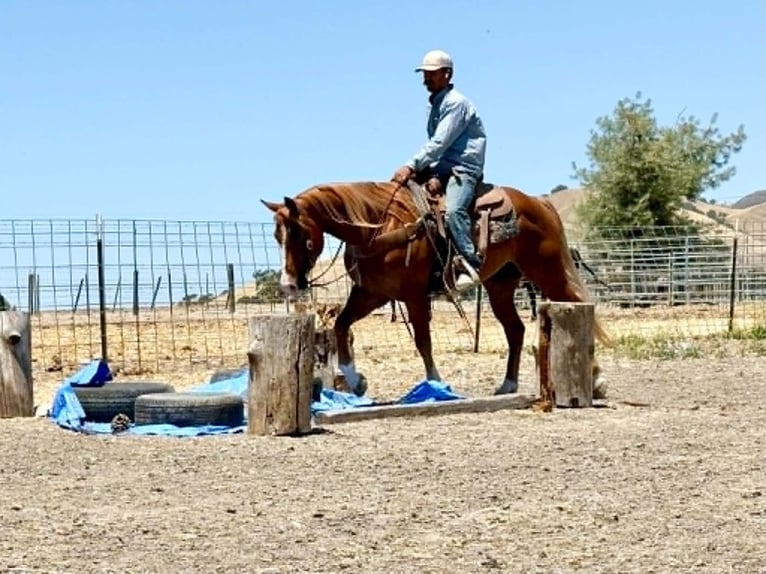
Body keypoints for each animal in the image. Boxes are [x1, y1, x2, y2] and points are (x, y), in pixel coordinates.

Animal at [262, 180, 609, 396]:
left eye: (298, 233)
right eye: (277, 236)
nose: (288, 285)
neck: (379, 228)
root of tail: (539, 202)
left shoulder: (414, 296)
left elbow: (423, 342)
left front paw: (435, 384)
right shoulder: (371, 294)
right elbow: (340, 325)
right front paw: (355, 380)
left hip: (548, 272)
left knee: (579, 305)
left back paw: (596, 379)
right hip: (500, 286)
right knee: (516, 330)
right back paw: (508, 385)